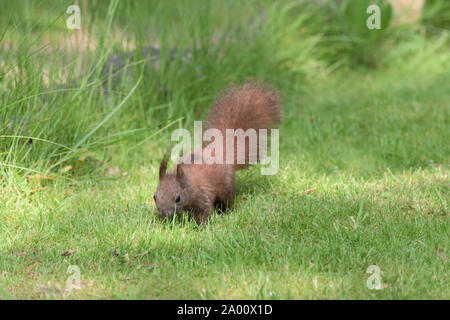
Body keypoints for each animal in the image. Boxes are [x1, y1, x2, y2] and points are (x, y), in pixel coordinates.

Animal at [155, 82, 282, 225]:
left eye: (178, 198)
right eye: (154, 197)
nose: (165, 213)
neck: (188, 183)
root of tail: (222, 153)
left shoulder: (201, 196)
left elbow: (204, 212)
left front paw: (199, 226)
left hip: (226, 187)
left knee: (227, 201)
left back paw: (225, 213)